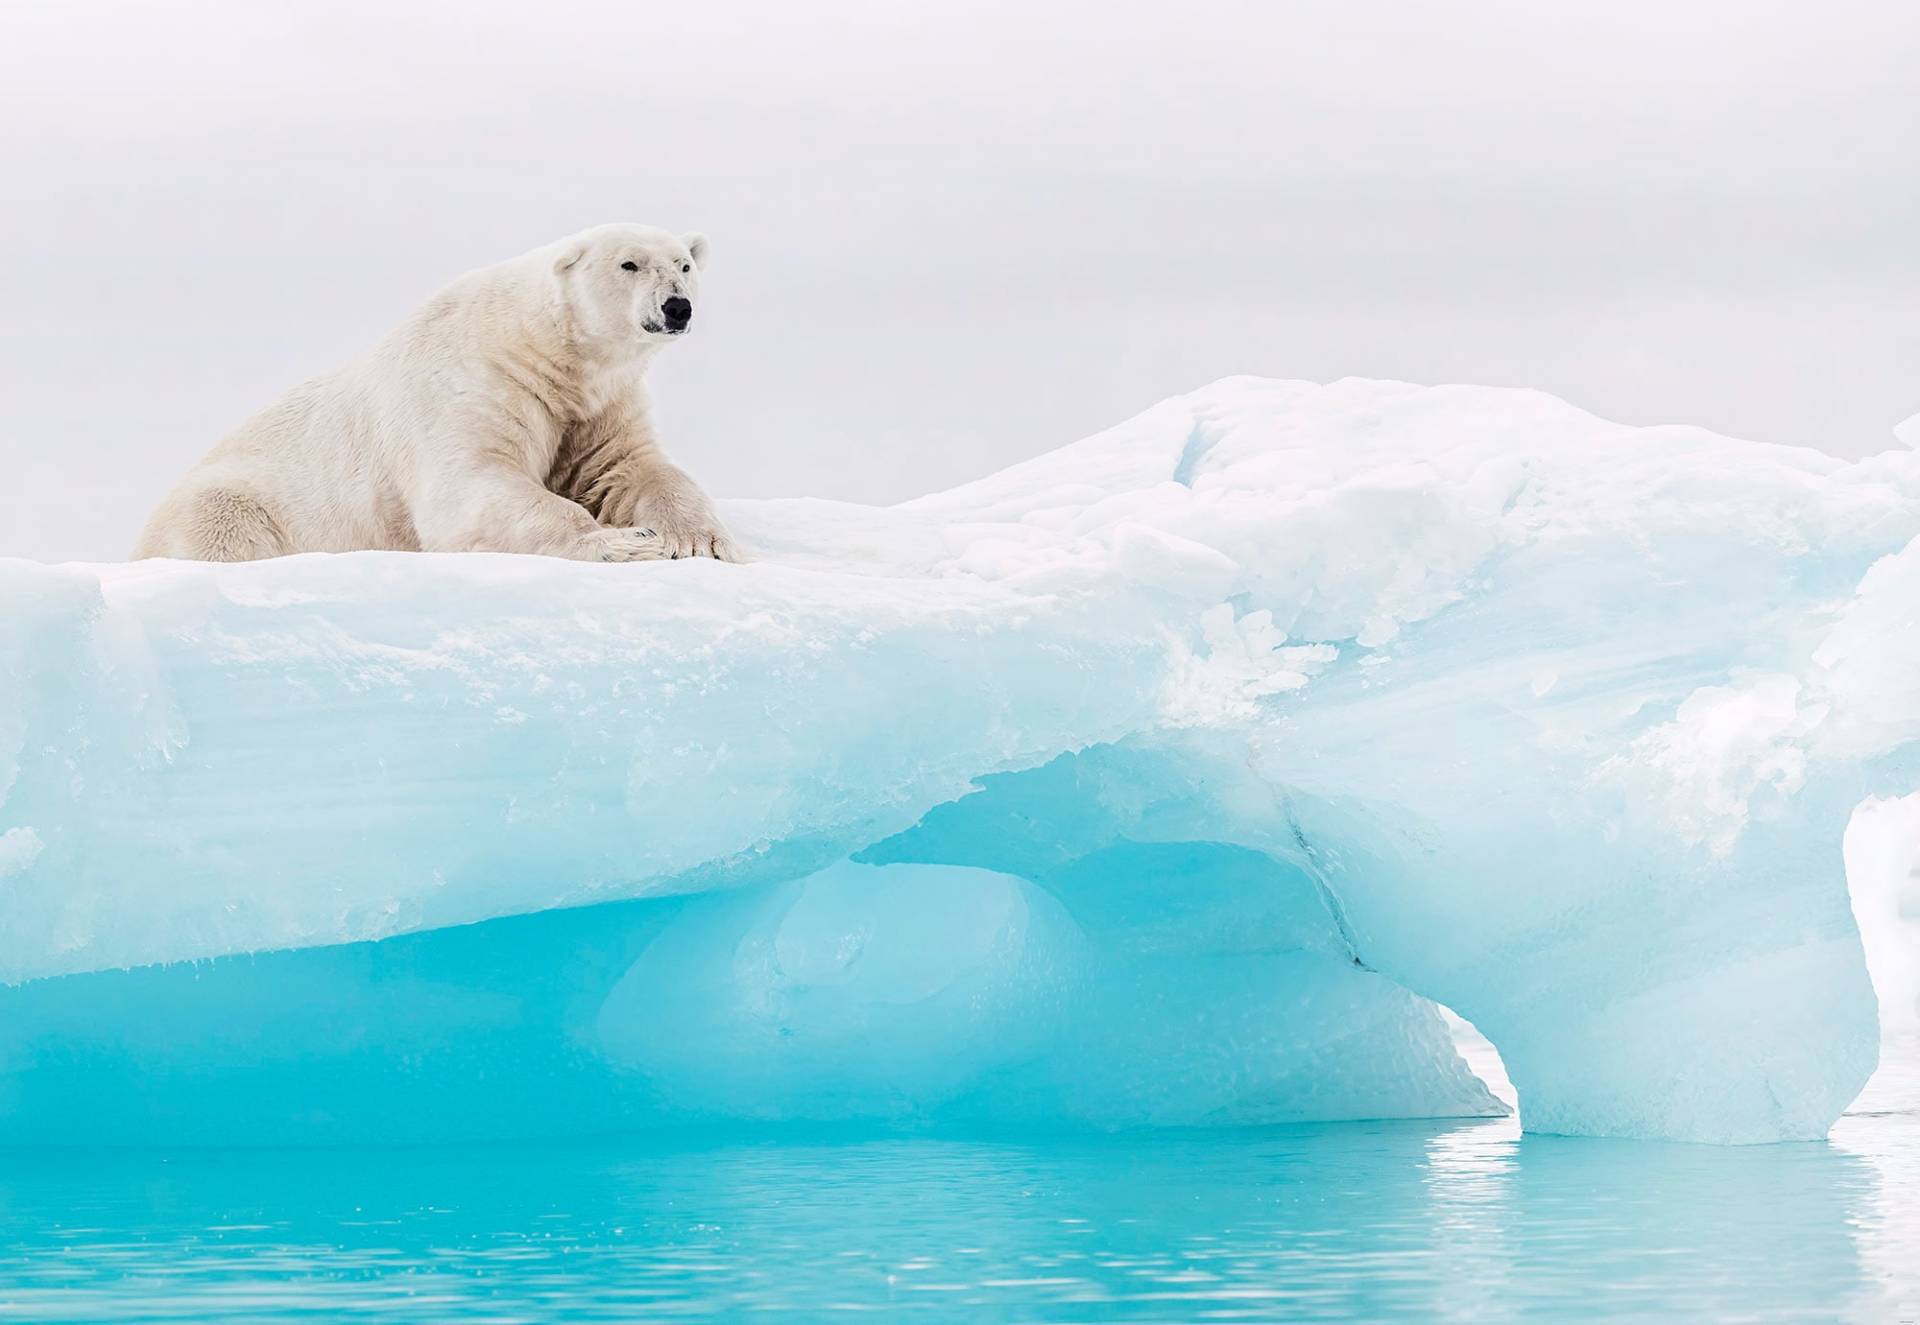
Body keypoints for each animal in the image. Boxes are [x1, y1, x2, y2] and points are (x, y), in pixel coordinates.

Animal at [135, 220, 741, 556]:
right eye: (628, 264)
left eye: (684, 264)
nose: (677, 307)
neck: (543, 351)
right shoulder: (474, 386)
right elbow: (472, 485)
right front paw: (620, 543)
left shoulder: (598, 404)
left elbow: (628, 470)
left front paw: (702, 541)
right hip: (233, 504)